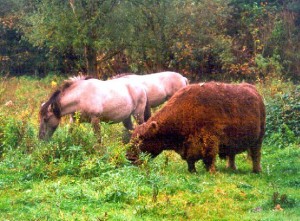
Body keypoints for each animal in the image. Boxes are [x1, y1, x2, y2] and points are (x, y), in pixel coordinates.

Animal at [126, 82, 264, 174]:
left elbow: (209, 158)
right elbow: (190, 160)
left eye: (141, 139)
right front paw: (192, 171)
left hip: (258, 139)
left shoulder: (210, 142)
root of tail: (255, 92)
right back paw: (231, 168)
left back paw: (256, 171)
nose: (129, 157)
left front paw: (212, 172)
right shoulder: (188, 146)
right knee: (232, 155)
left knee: (256, 155)